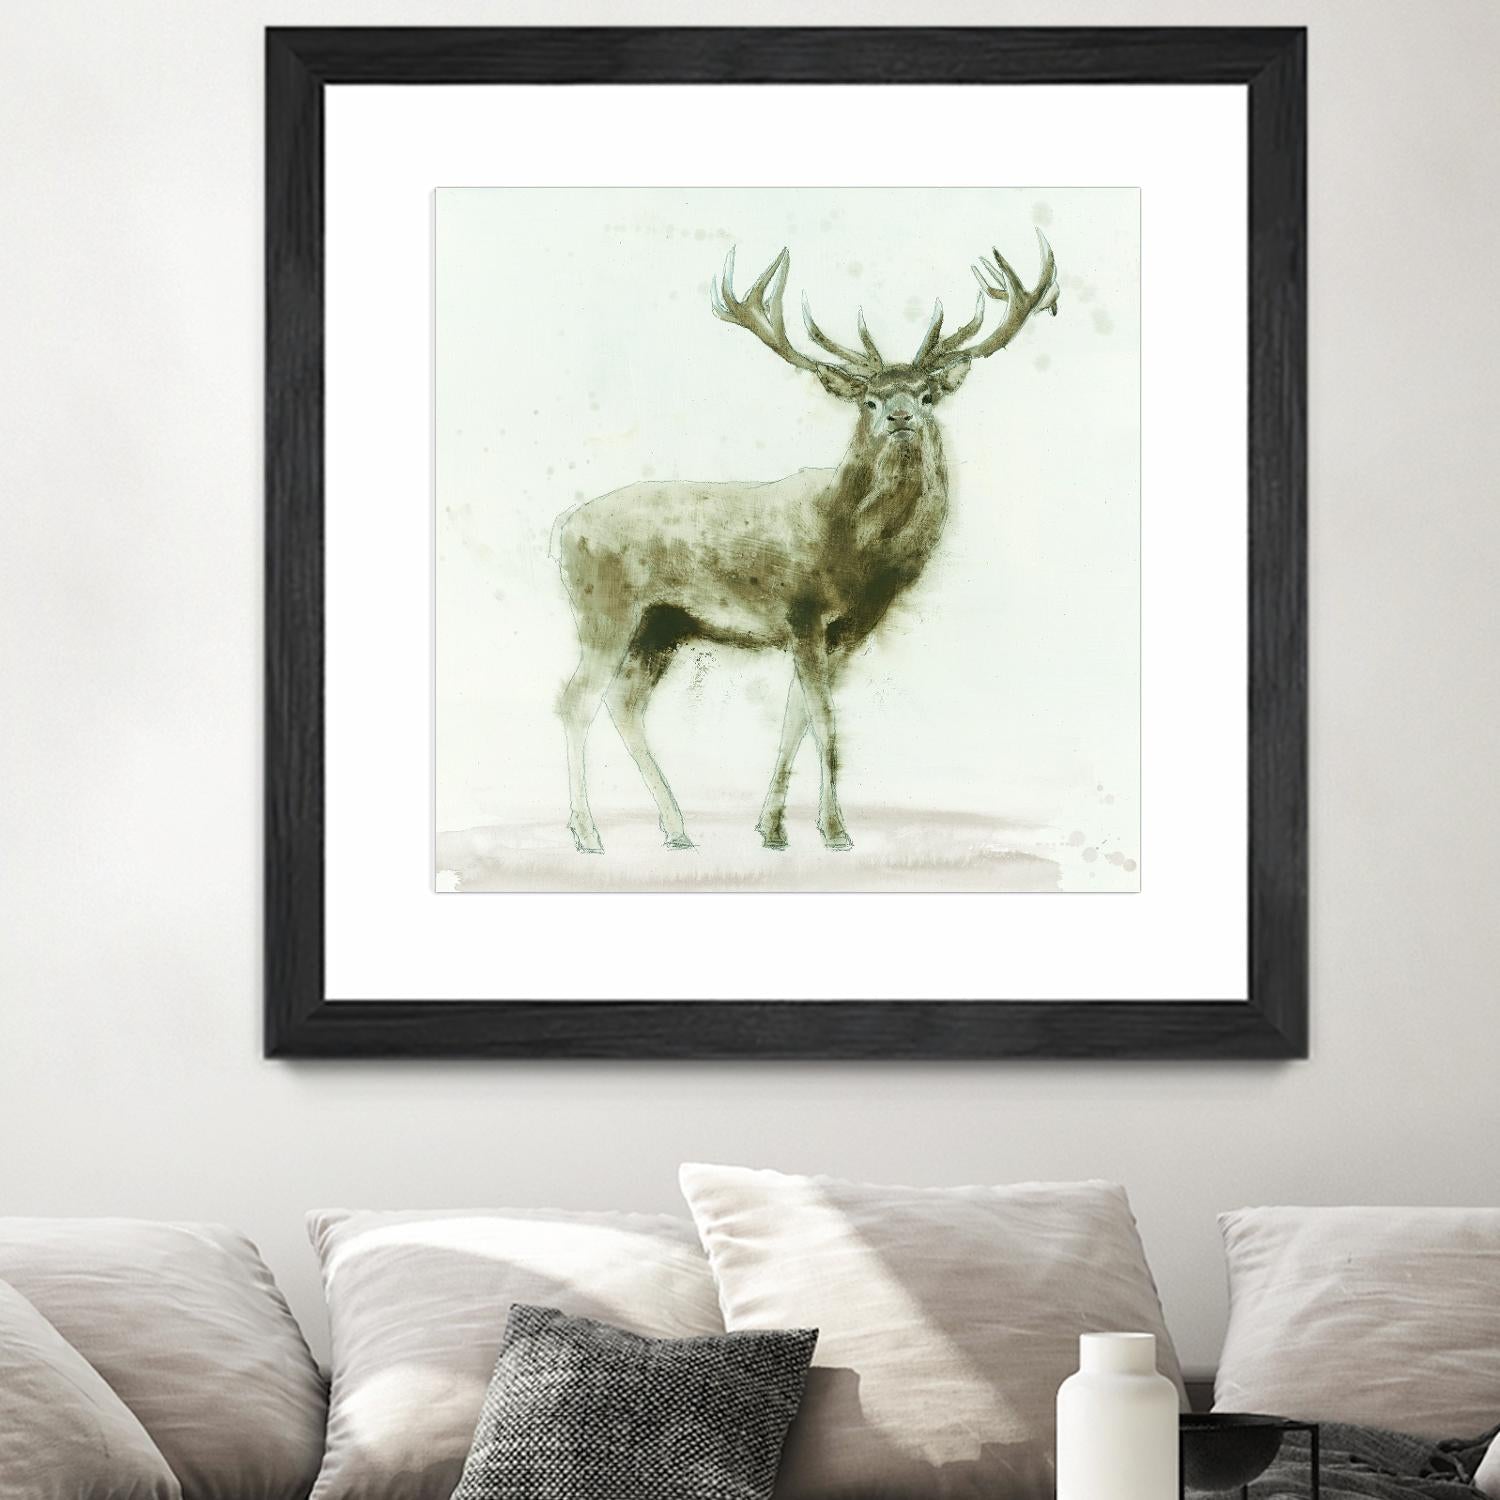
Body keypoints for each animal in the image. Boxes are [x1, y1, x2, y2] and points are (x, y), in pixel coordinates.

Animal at [553, 230, 1059, 854]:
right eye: (869, 399)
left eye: (926, 395)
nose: (899, 418)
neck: (853, 550)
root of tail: (563, 529)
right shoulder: (802, 613)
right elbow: (826, 723)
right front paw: (837, 831)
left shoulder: (843, 632)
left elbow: (796, 718)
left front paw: (772, 828)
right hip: (605, 608)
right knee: (575, 700)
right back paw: (588, 834)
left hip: (661, 626)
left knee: (624, 704)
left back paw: (676, 828)